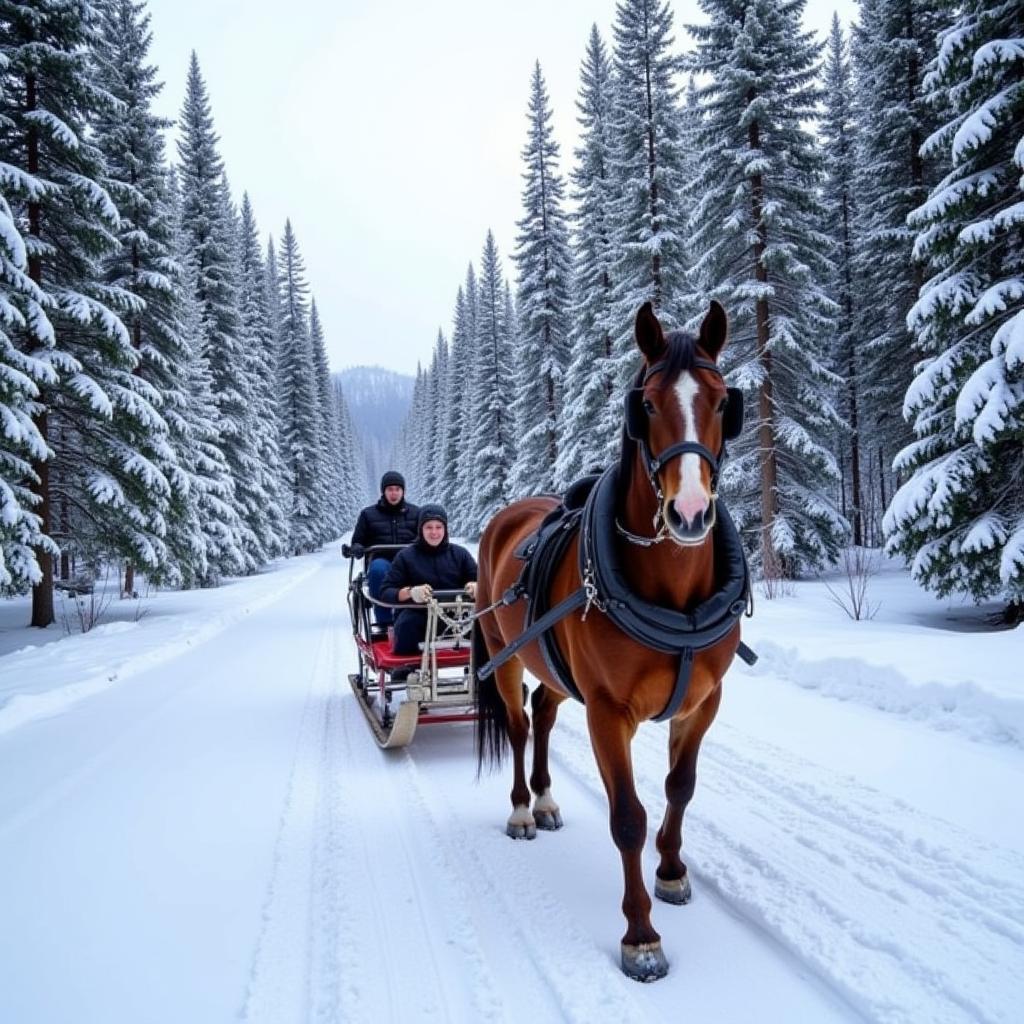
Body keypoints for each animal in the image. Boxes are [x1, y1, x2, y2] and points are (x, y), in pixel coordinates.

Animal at [473, 299, 753, 978]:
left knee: (544, 715)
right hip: (506, 657)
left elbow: (680, 787)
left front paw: (673, 872)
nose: (689, 513)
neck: (673, 597)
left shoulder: (703, 702)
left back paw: (547, 802)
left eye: (721, 401)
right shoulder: (607, 712)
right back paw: (522, 809)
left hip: (554, 669)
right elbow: (627, 817)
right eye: (646, 403)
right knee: (519, 727)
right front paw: (641, 937)